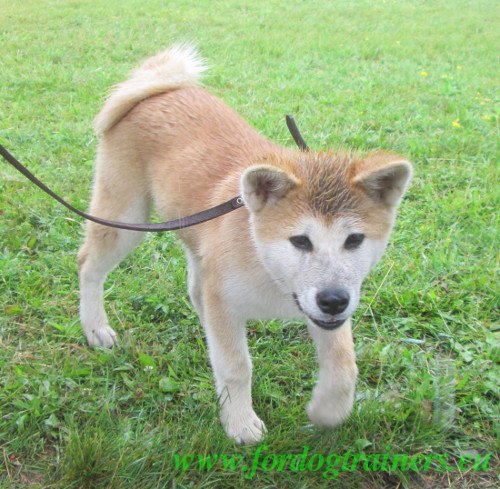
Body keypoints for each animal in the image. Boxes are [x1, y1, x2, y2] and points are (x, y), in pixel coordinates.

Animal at [78, 44, 412, 442]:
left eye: (355, 240)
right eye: (300, 241)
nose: (333, 300)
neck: (266, 266)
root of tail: (157, 87)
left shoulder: (326, 309)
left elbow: (345, 365)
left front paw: (326, 412)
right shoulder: (228, 301)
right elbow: (236, 366)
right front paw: (240, 422)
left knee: (196, 287)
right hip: (126, 218)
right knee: (87, 264)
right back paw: (95, 327)